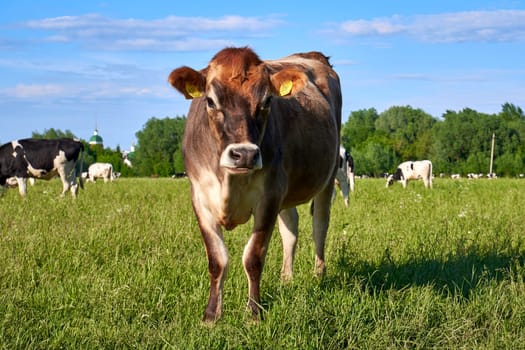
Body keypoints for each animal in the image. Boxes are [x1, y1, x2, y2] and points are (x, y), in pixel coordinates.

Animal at [167, 46, 340, 322]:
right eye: (210, 101)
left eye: (267, 101)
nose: (245, 154)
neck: (229, 183)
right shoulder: (200, 197)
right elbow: (217, 259)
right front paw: (211, 315)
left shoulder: (269, 196)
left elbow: (253, 257)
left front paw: (254, 313)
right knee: (290, 228)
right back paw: (286, 279)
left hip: (328, 175)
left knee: (319, 226)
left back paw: (318, 275)